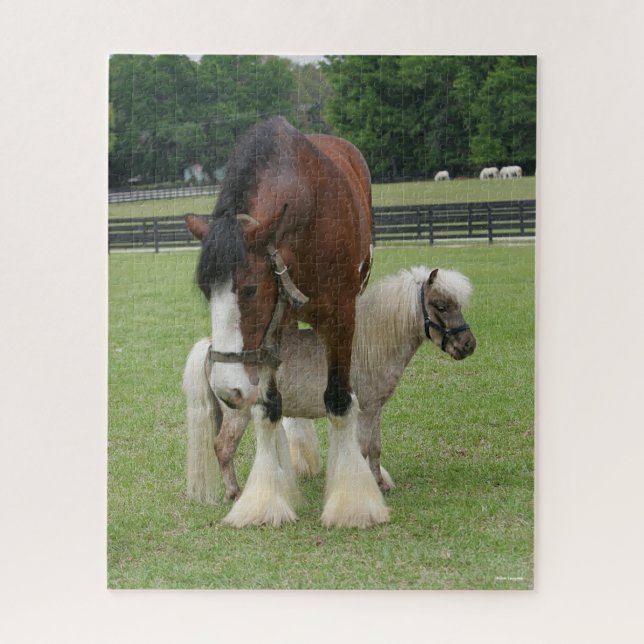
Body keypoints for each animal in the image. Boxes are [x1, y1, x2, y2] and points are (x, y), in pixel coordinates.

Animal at [183, 117, 386, 528]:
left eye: (248, 289)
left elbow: (339, 399)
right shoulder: (272, 328)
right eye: (204, 290)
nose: (226, 388)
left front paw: (352, 501)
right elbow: (269, 406)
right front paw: (266, 498)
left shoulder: (342, 318)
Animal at [184, 265, 476, 506]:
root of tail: (212, 347)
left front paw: (380, 483)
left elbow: (375, 448)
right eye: (440, 305)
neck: (368, 346)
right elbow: (364, 448)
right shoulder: (365, 410)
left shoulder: (375, 409)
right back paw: (235, 494)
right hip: (238, 413)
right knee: (223, 448)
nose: (468, 345)